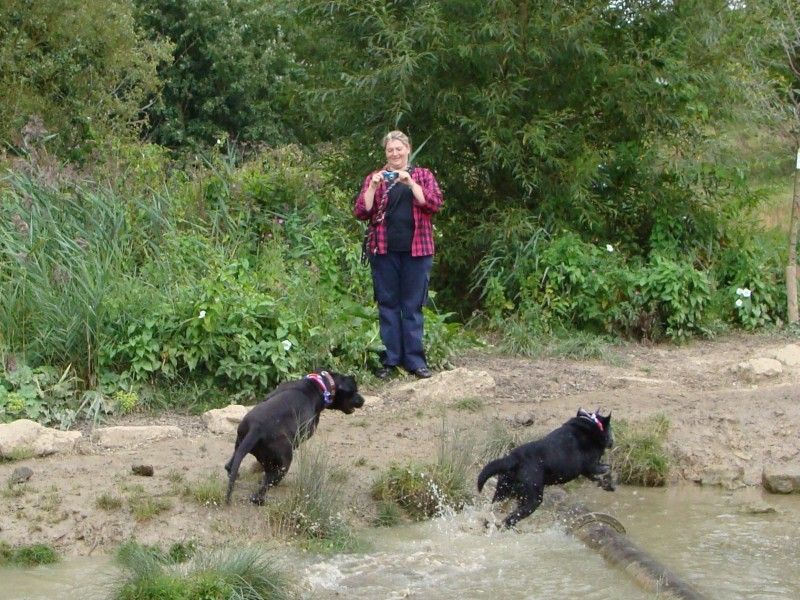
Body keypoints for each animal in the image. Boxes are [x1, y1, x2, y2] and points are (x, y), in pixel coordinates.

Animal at [223, 372, 364, 504]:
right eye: (354, 390)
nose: (363, 400)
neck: (319, 385)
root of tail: (256, 429)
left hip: (240, 443)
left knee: (231, 465)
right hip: (284, 463)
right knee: (263, 488)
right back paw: (261, 499)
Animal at [478, 410, 616, 528]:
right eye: (611, 429)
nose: (612, 442)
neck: (591, 424)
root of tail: (513, 458)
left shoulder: (588, 471)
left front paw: (606, 484)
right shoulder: (592, 466)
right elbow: (608, 469)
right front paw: (611, 481)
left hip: (503, 491)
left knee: (493, 510)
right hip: (533, 499)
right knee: (510, 519)